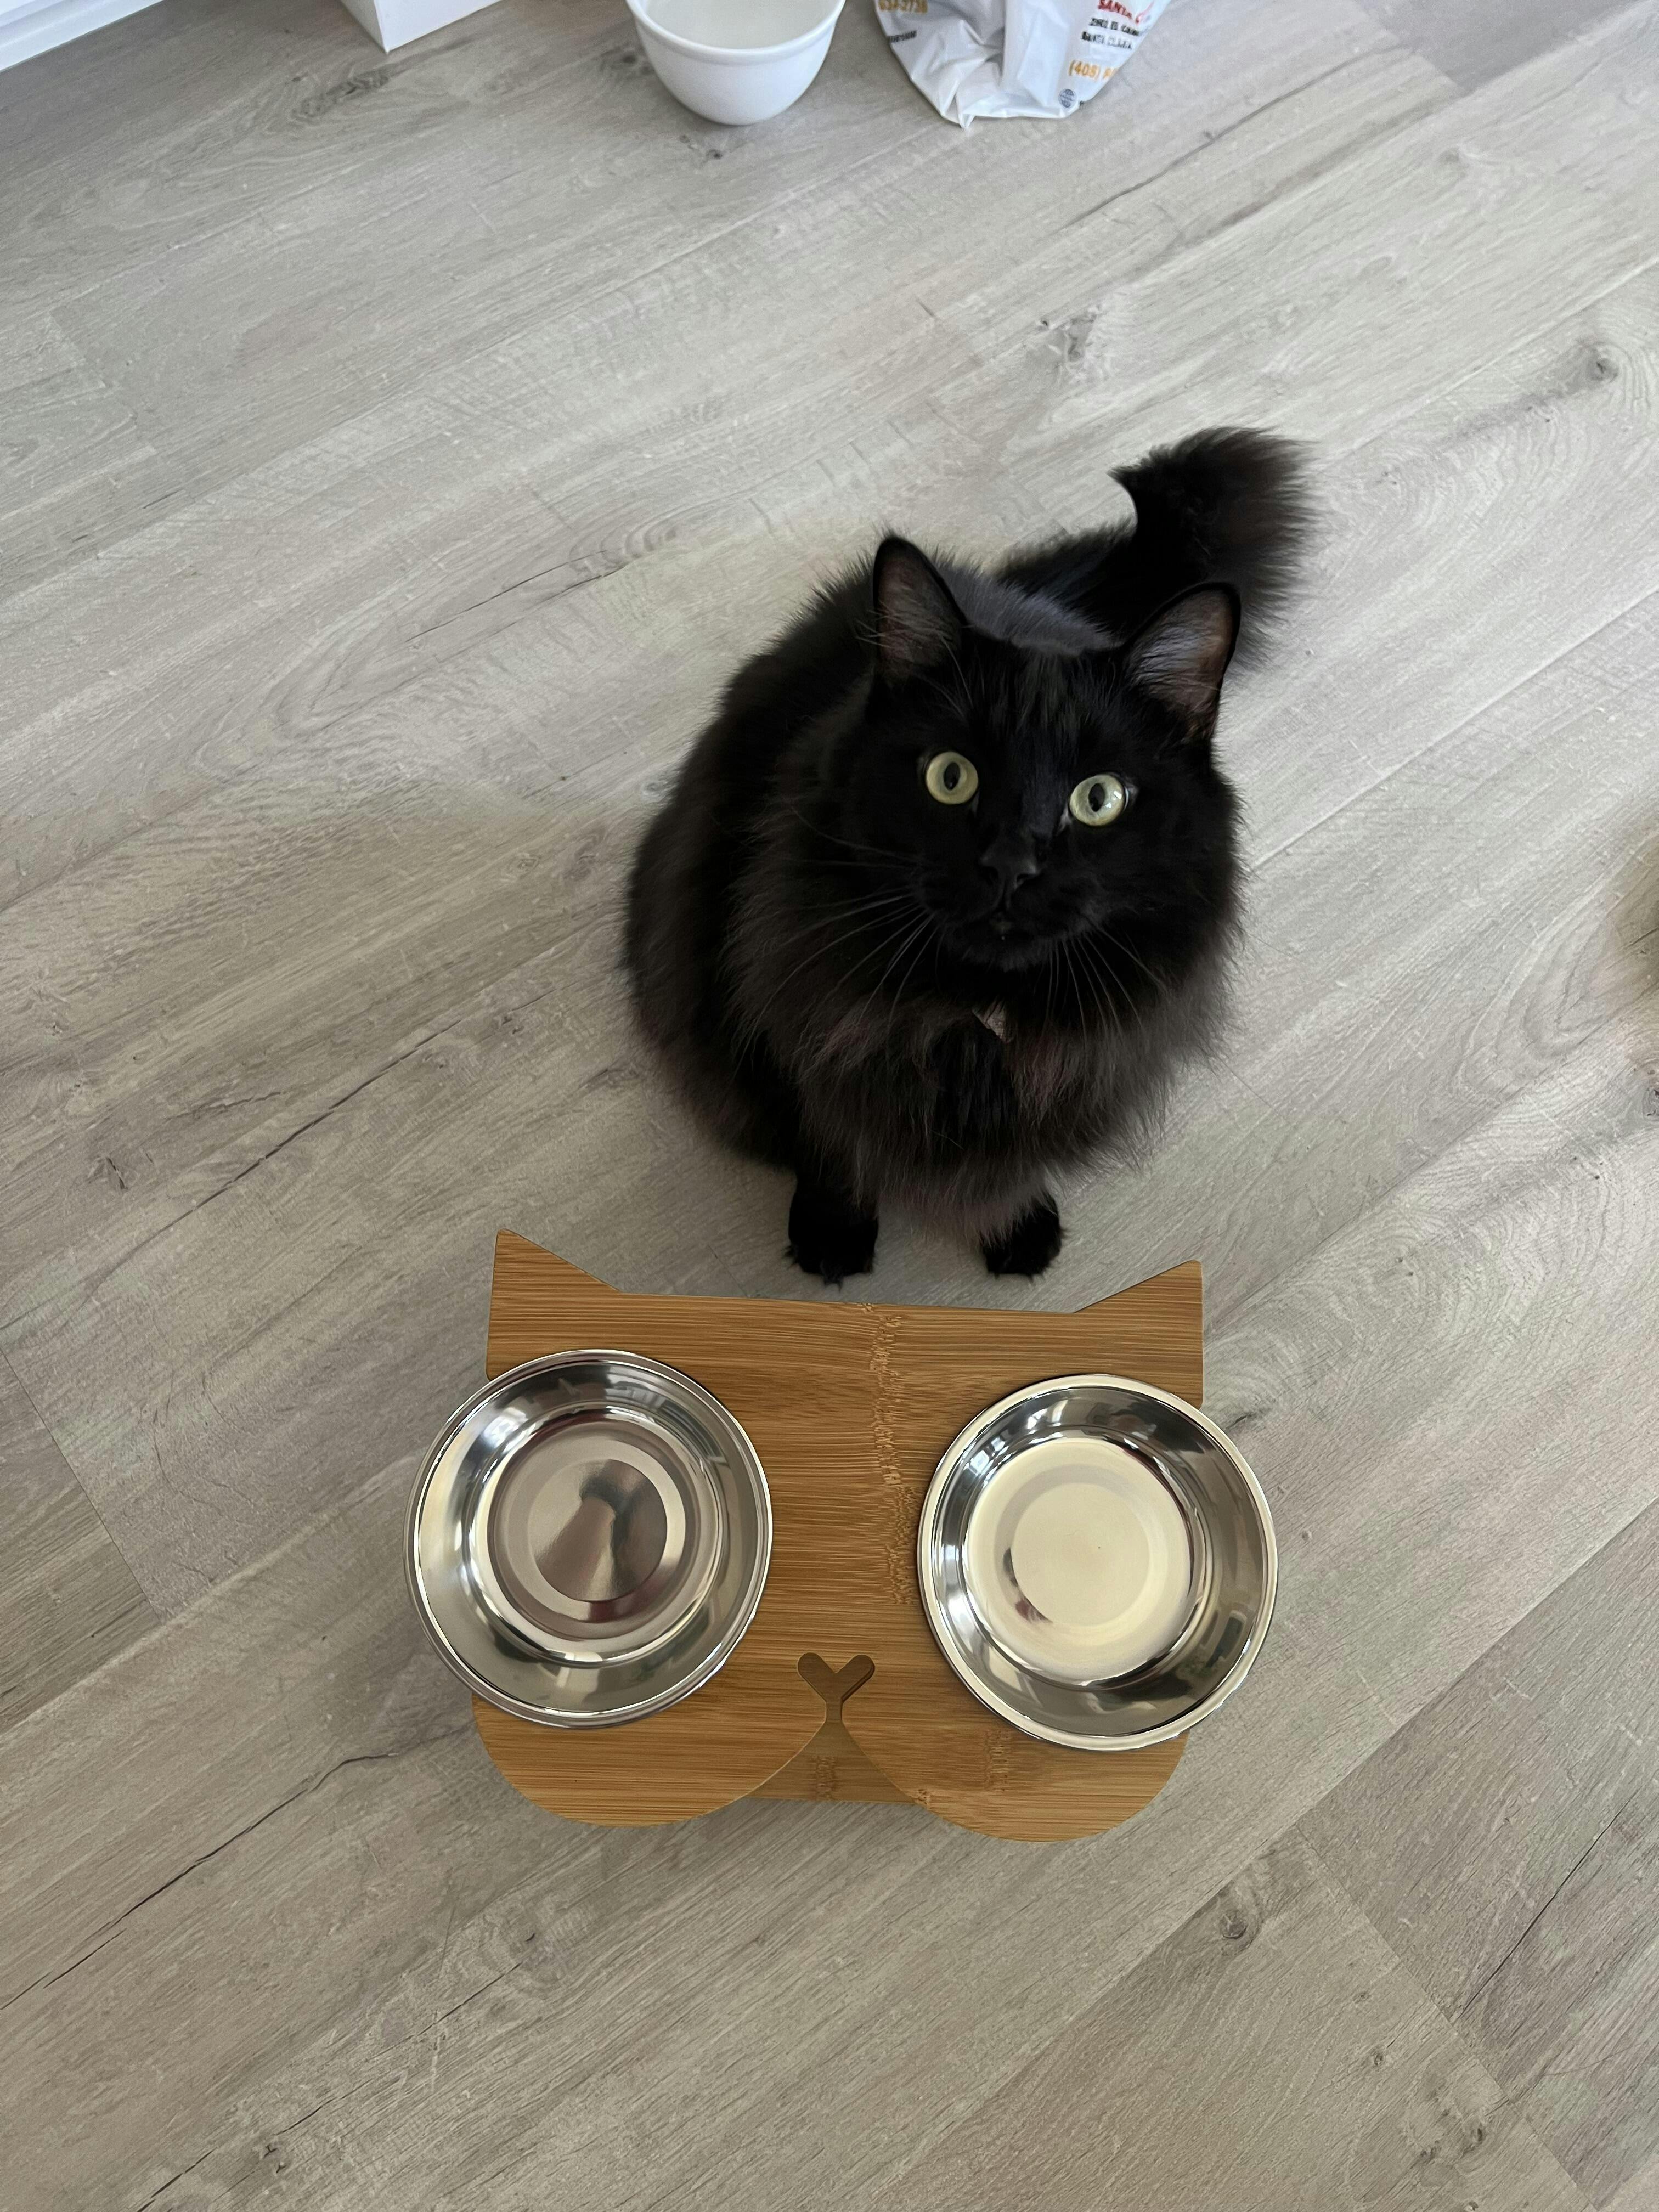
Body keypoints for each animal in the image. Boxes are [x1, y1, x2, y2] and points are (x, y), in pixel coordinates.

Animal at [624, 427, 1310, 1283]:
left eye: (1098, 798)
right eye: (951, 777)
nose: (1011, 865)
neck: (975, 1019)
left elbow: (1012, 1167)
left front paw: (1019, 1229)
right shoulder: (793, 1012)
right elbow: (830, 1139)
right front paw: (833, 1233)